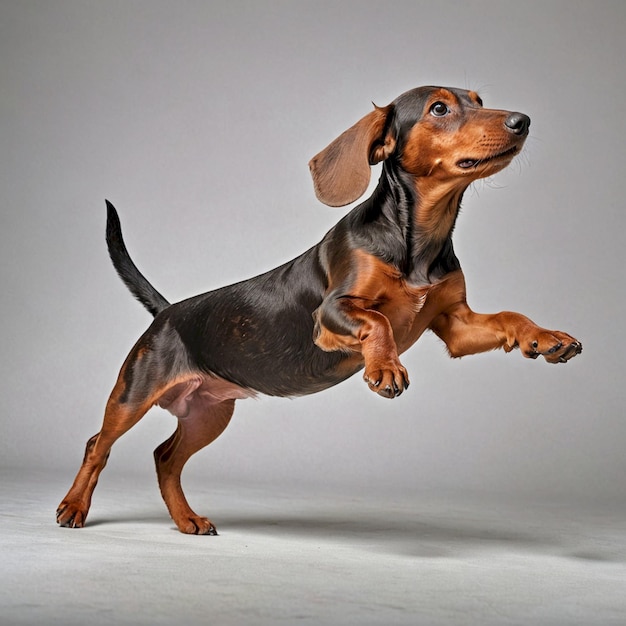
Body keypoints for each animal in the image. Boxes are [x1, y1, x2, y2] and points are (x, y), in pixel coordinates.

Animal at [57, 84, 580, 532]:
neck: (420, 241)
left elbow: (509, 317)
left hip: (209, 414)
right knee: (97, 445)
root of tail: (167, 312)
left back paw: (187, 520)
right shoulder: (331, 314)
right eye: (439, 108)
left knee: (165, 458)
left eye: (479, 100)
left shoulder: (457, 325)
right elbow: (378, 321)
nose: (521, 121)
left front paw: (547, 337)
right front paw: (385, 367)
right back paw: (73, 507)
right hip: (133, 395)